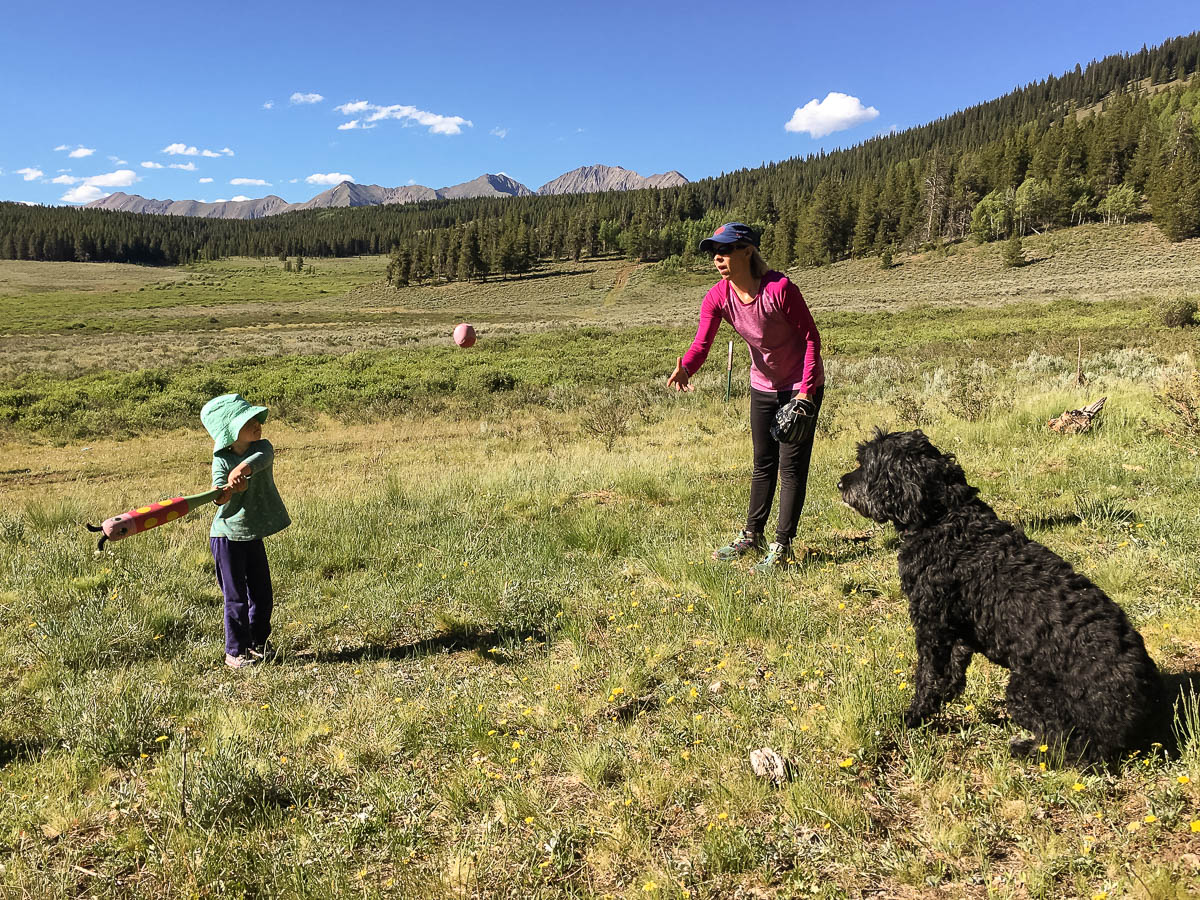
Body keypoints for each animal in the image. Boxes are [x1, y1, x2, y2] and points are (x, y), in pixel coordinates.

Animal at [835, 432, 1161, 768]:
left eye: (867, 463)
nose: (840, 483)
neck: (945, 519)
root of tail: (1142, 706)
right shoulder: (959, 631)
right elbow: (951, 672)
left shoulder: (932, 624)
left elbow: (927, 676)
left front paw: (914, 717)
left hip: (1025, 691)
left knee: (1072, 748)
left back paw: (1024, 748)